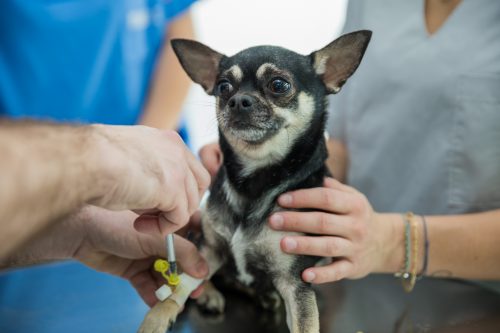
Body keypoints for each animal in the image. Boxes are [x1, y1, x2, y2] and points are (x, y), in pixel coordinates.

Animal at [139, 30, 370, 332]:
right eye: (223, 87)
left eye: (279, 85)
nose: (239, 100)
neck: (255, 178)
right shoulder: (209, 250)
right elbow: (177, 289)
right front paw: (155, 319)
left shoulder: (294, 280)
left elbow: (305, 323)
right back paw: (212, 295)